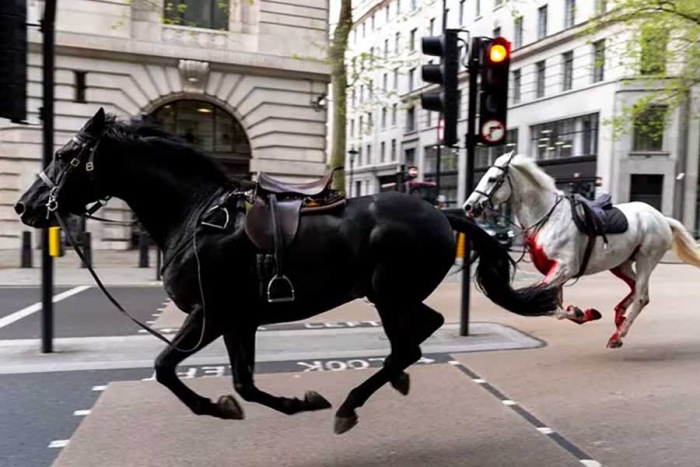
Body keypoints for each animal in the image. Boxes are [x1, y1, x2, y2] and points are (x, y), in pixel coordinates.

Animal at [16, 109, 556, 436]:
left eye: (65, 155)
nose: (25, 206)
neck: (195, 216)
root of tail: (443, 213)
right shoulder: (237, 320)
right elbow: (242, 383)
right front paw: (285, 402)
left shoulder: (212, 315)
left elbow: (167, 368)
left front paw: (221, 406)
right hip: (392, 294)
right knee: (422, 332)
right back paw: (392, 381)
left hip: (388, 294)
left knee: (408, 344)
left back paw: (351, 404)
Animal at [462, 152, 700, 350]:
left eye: (492, 179)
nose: (468, 207)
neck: (548, 217)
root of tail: (662, 219)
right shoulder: (554, 271)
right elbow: (554, 306)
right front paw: (583, 313)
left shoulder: (564, 268)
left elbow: (540, 301)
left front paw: (579, 312)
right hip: (621, 264)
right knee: (635, 289)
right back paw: (619, 317)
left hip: (646, 260)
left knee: (641, 297)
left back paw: (617, 336)